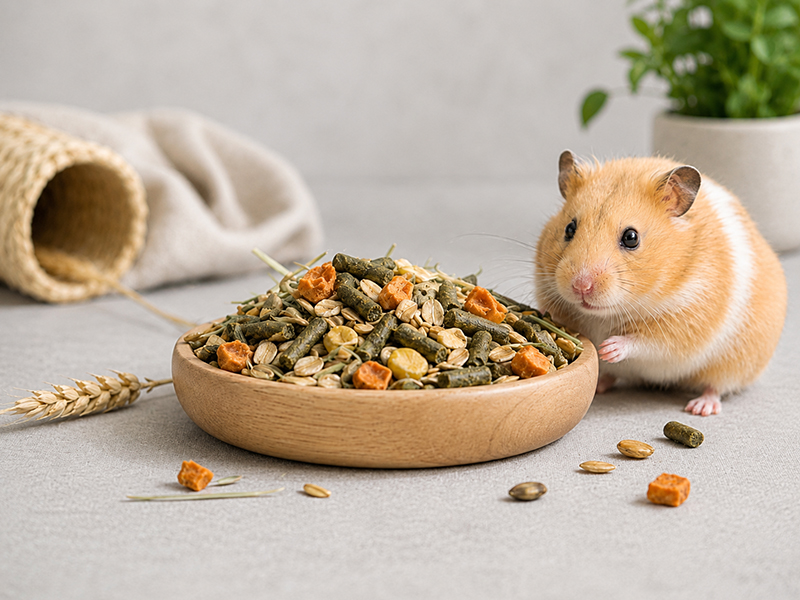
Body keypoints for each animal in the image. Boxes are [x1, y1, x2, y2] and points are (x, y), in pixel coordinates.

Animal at [534, 151, 787, 416]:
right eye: (569, 229)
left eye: (631, 237)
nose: (581, 287)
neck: (606, 314)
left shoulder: (687, 321)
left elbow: (646, 342)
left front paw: (607, 349)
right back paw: (601, 384)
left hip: (734, 365)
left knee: (715, 386)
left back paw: (700, 407)